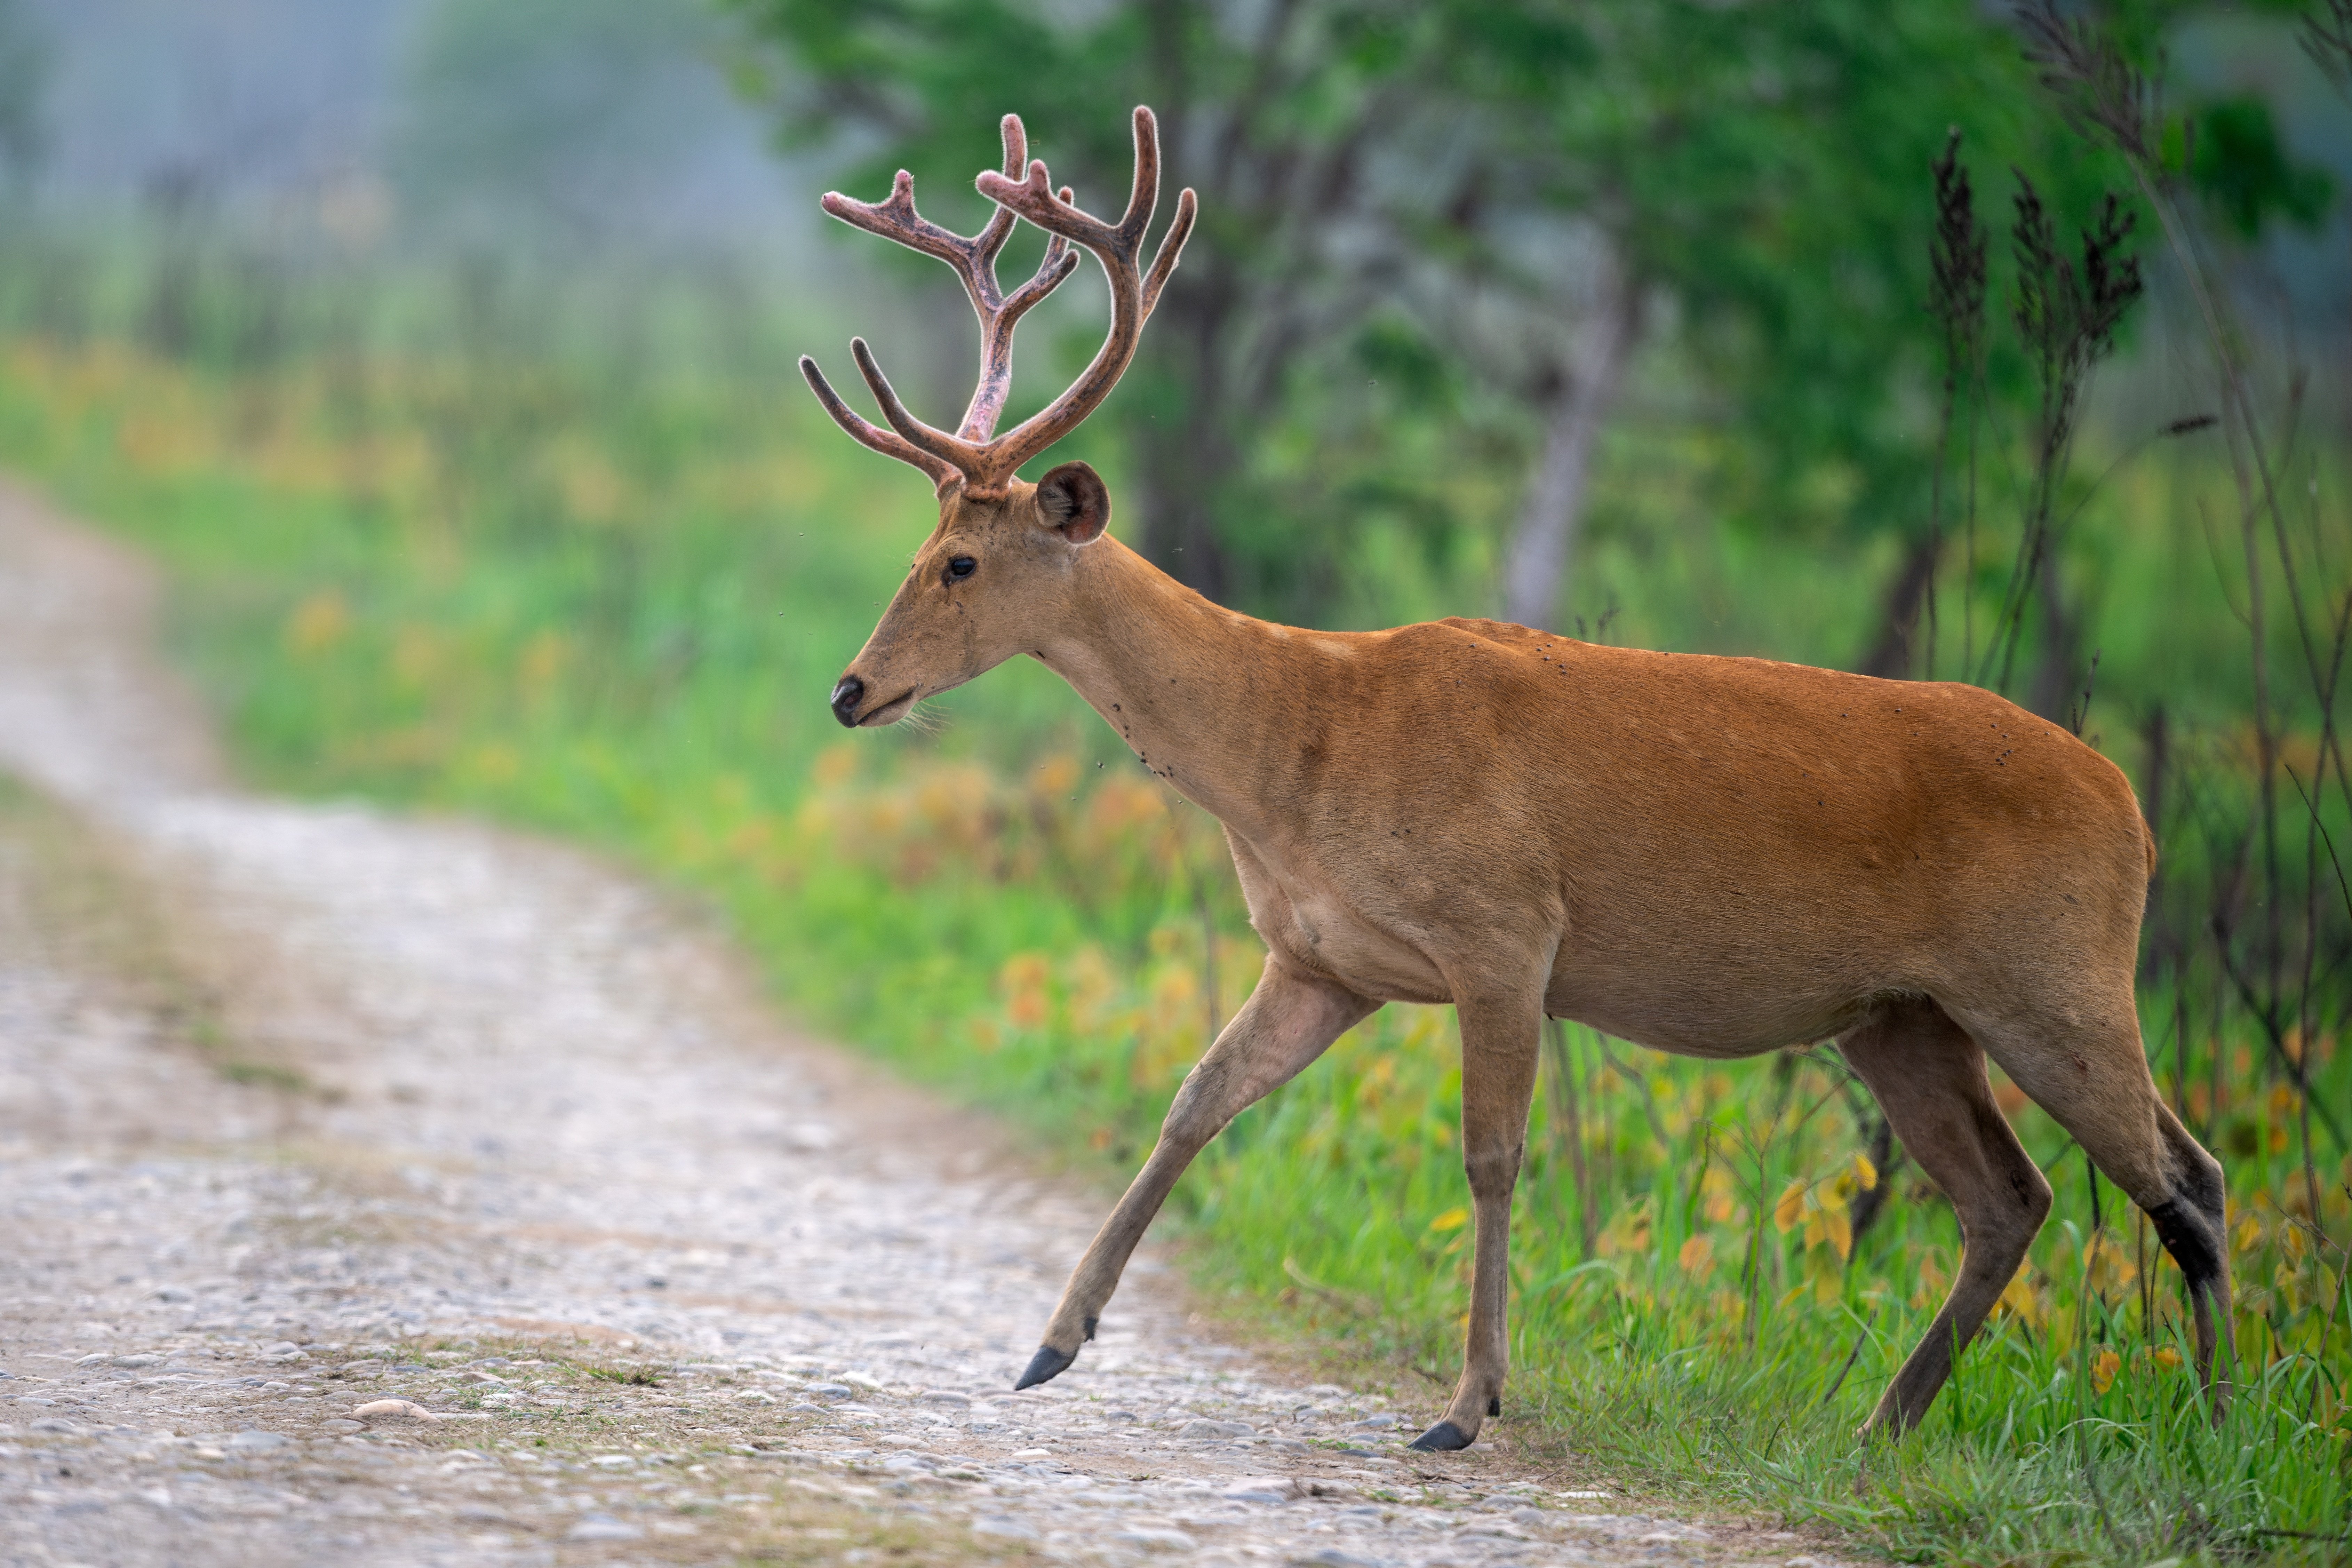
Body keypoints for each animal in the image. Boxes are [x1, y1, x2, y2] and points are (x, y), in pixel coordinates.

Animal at [799, 104, 2230, 1457]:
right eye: (923, 545)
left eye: (961, 564)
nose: (851, 689)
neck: (1298, 747)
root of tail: (2133, 805)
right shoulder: (1322, 958)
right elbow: (1193, 1099)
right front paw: (1050, 1341)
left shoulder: (1503, 929)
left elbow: (1491, 1156)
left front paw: (1467, 1401)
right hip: (1900, 1014)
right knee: (2014, 1194)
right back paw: (1887, 1422)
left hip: (2053, 970)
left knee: (2186, 1175)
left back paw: (2217, 1436)